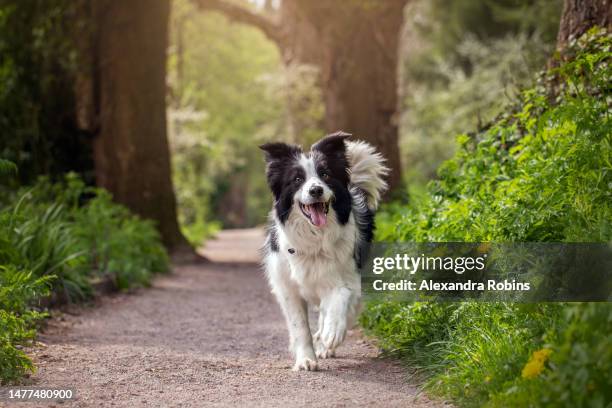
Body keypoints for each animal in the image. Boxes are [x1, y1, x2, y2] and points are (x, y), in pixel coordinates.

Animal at [260, 131, 388, 370]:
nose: (316, 190)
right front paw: (306, 359)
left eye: (326, 175)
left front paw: (331, 334)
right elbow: (300, 327)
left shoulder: (347, 277)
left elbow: (340, 297)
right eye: (297, 179)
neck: (315, 238)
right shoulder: (287, 288)